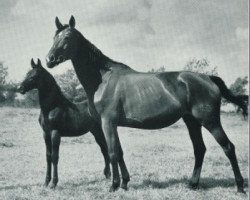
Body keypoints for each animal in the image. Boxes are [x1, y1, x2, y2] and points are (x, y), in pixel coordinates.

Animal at [17, 58, 110, 188]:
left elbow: (55, 157)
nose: (20, 88)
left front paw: (53, 183)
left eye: (34, 76)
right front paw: (46, 182)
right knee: (104, 150)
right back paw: (107, 174)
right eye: (27, 74)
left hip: (99, 131)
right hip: (95, 132)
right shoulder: (45, 134)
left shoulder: (55, 133)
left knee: (106, 149)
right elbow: (48, 156)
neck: (52, 107)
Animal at [45, 16, 246, 192]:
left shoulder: (107, 123)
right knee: (199, 149)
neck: (102, 79)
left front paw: (114, 185)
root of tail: (208, 78)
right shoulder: (113, 125)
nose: (49, 60)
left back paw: (239, 186)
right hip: (192, 122)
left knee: (228, 147)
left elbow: (112, 153)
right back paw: (193, 184)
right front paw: (125, 183)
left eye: (67, 37)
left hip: (210, 121)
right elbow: (120, 152)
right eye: (54, 37)